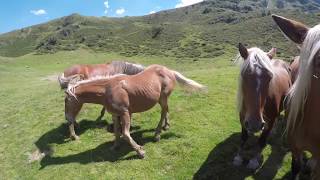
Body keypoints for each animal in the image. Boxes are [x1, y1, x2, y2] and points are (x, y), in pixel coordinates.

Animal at [64, 64, 208, 158]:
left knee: (163, 112)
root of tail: (168, 70)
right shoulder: (115, 114)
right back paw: (166, 126)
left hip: (163, 97)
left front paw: (140, 152)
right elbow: (117, 132)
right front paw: (115, 146)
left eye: (66, 101)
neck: (108, 89)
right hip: (162, 99)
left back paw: (157, 135)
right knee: (167, 109)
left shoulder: (125, 113)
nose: (68, 118)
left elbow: (126, 134)